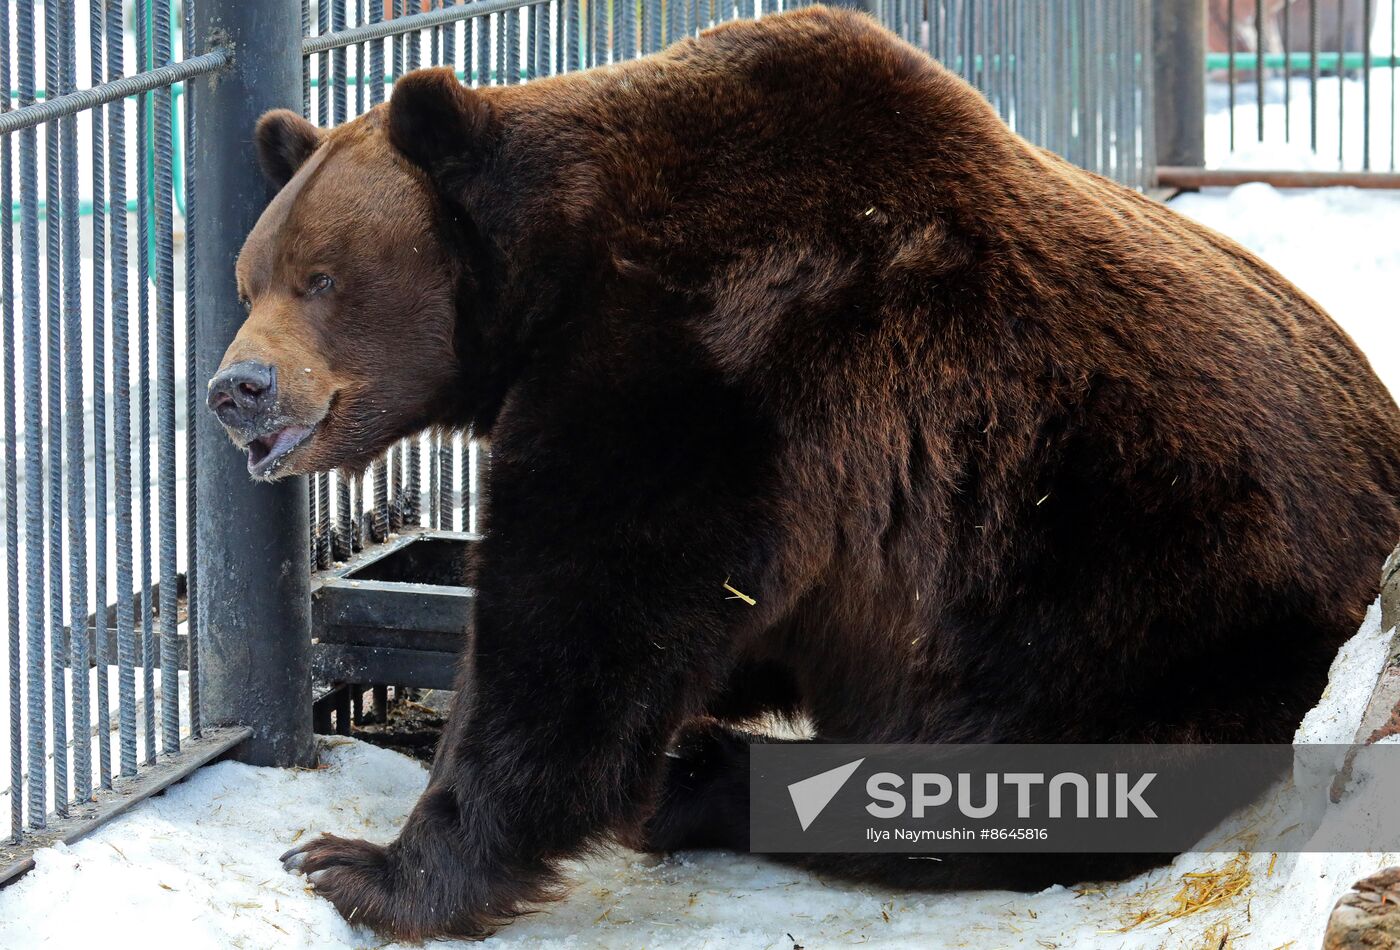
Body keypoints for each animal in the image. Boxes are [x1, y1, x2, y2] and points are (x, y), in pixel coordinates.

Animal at [206, 6, 1400, 940]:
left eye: (322, 276)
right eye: (249, 277)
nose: (237, 387)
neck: (553, 265)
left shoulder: (716, 360)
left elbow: (580, 631)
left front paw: (361, 865)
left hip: (1129, 590)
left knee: (996, 772)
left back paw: (704, 782)